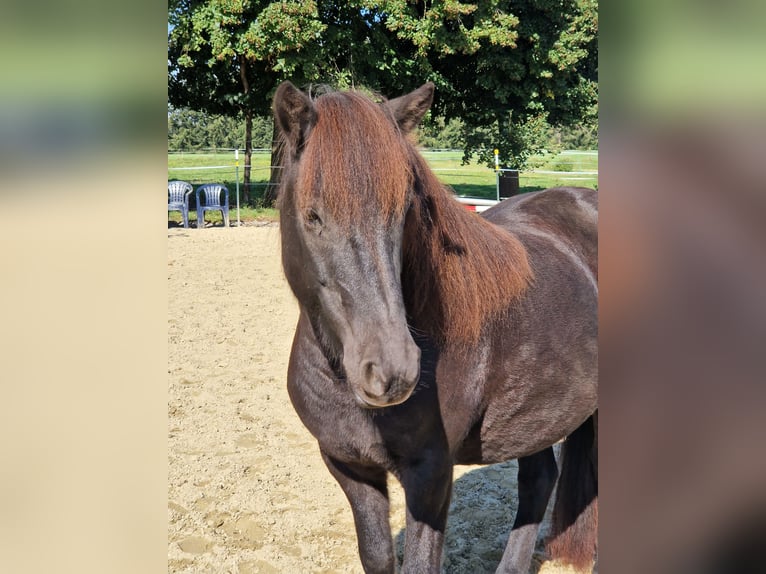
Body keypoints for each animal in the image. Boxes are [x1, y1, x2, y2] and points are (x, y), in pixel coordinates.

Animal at [272, 81, 597, 573]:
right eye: (312, 215)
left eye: (402, 210)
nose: (393, 370)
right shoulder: (349, 468)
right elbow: (378, 558)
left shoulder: (430, 474)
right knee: (540, 480)